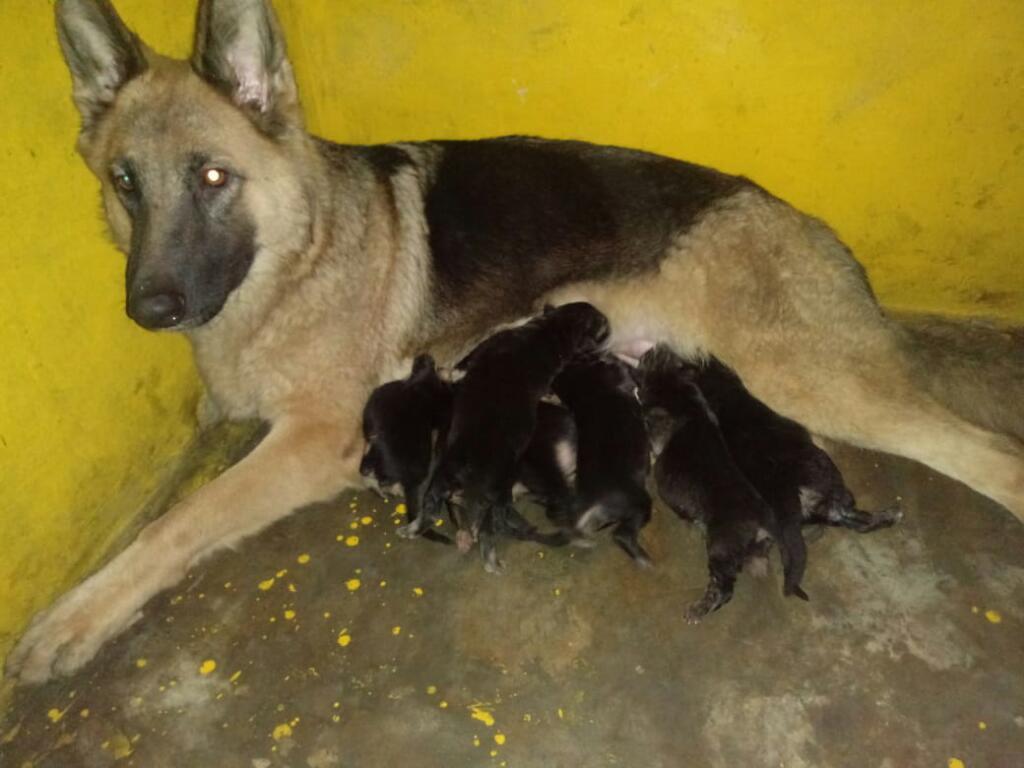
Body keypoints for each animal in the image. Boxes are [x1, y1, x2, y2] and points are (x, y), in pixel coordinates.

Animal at [634, 346, 811, 622]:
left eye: (652, 355)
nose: (649, 348)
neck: (674, 382)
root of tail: (765, 519)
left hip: (721, 546)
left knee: (724, 589)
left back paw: (698, 609)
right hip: (752, 548)